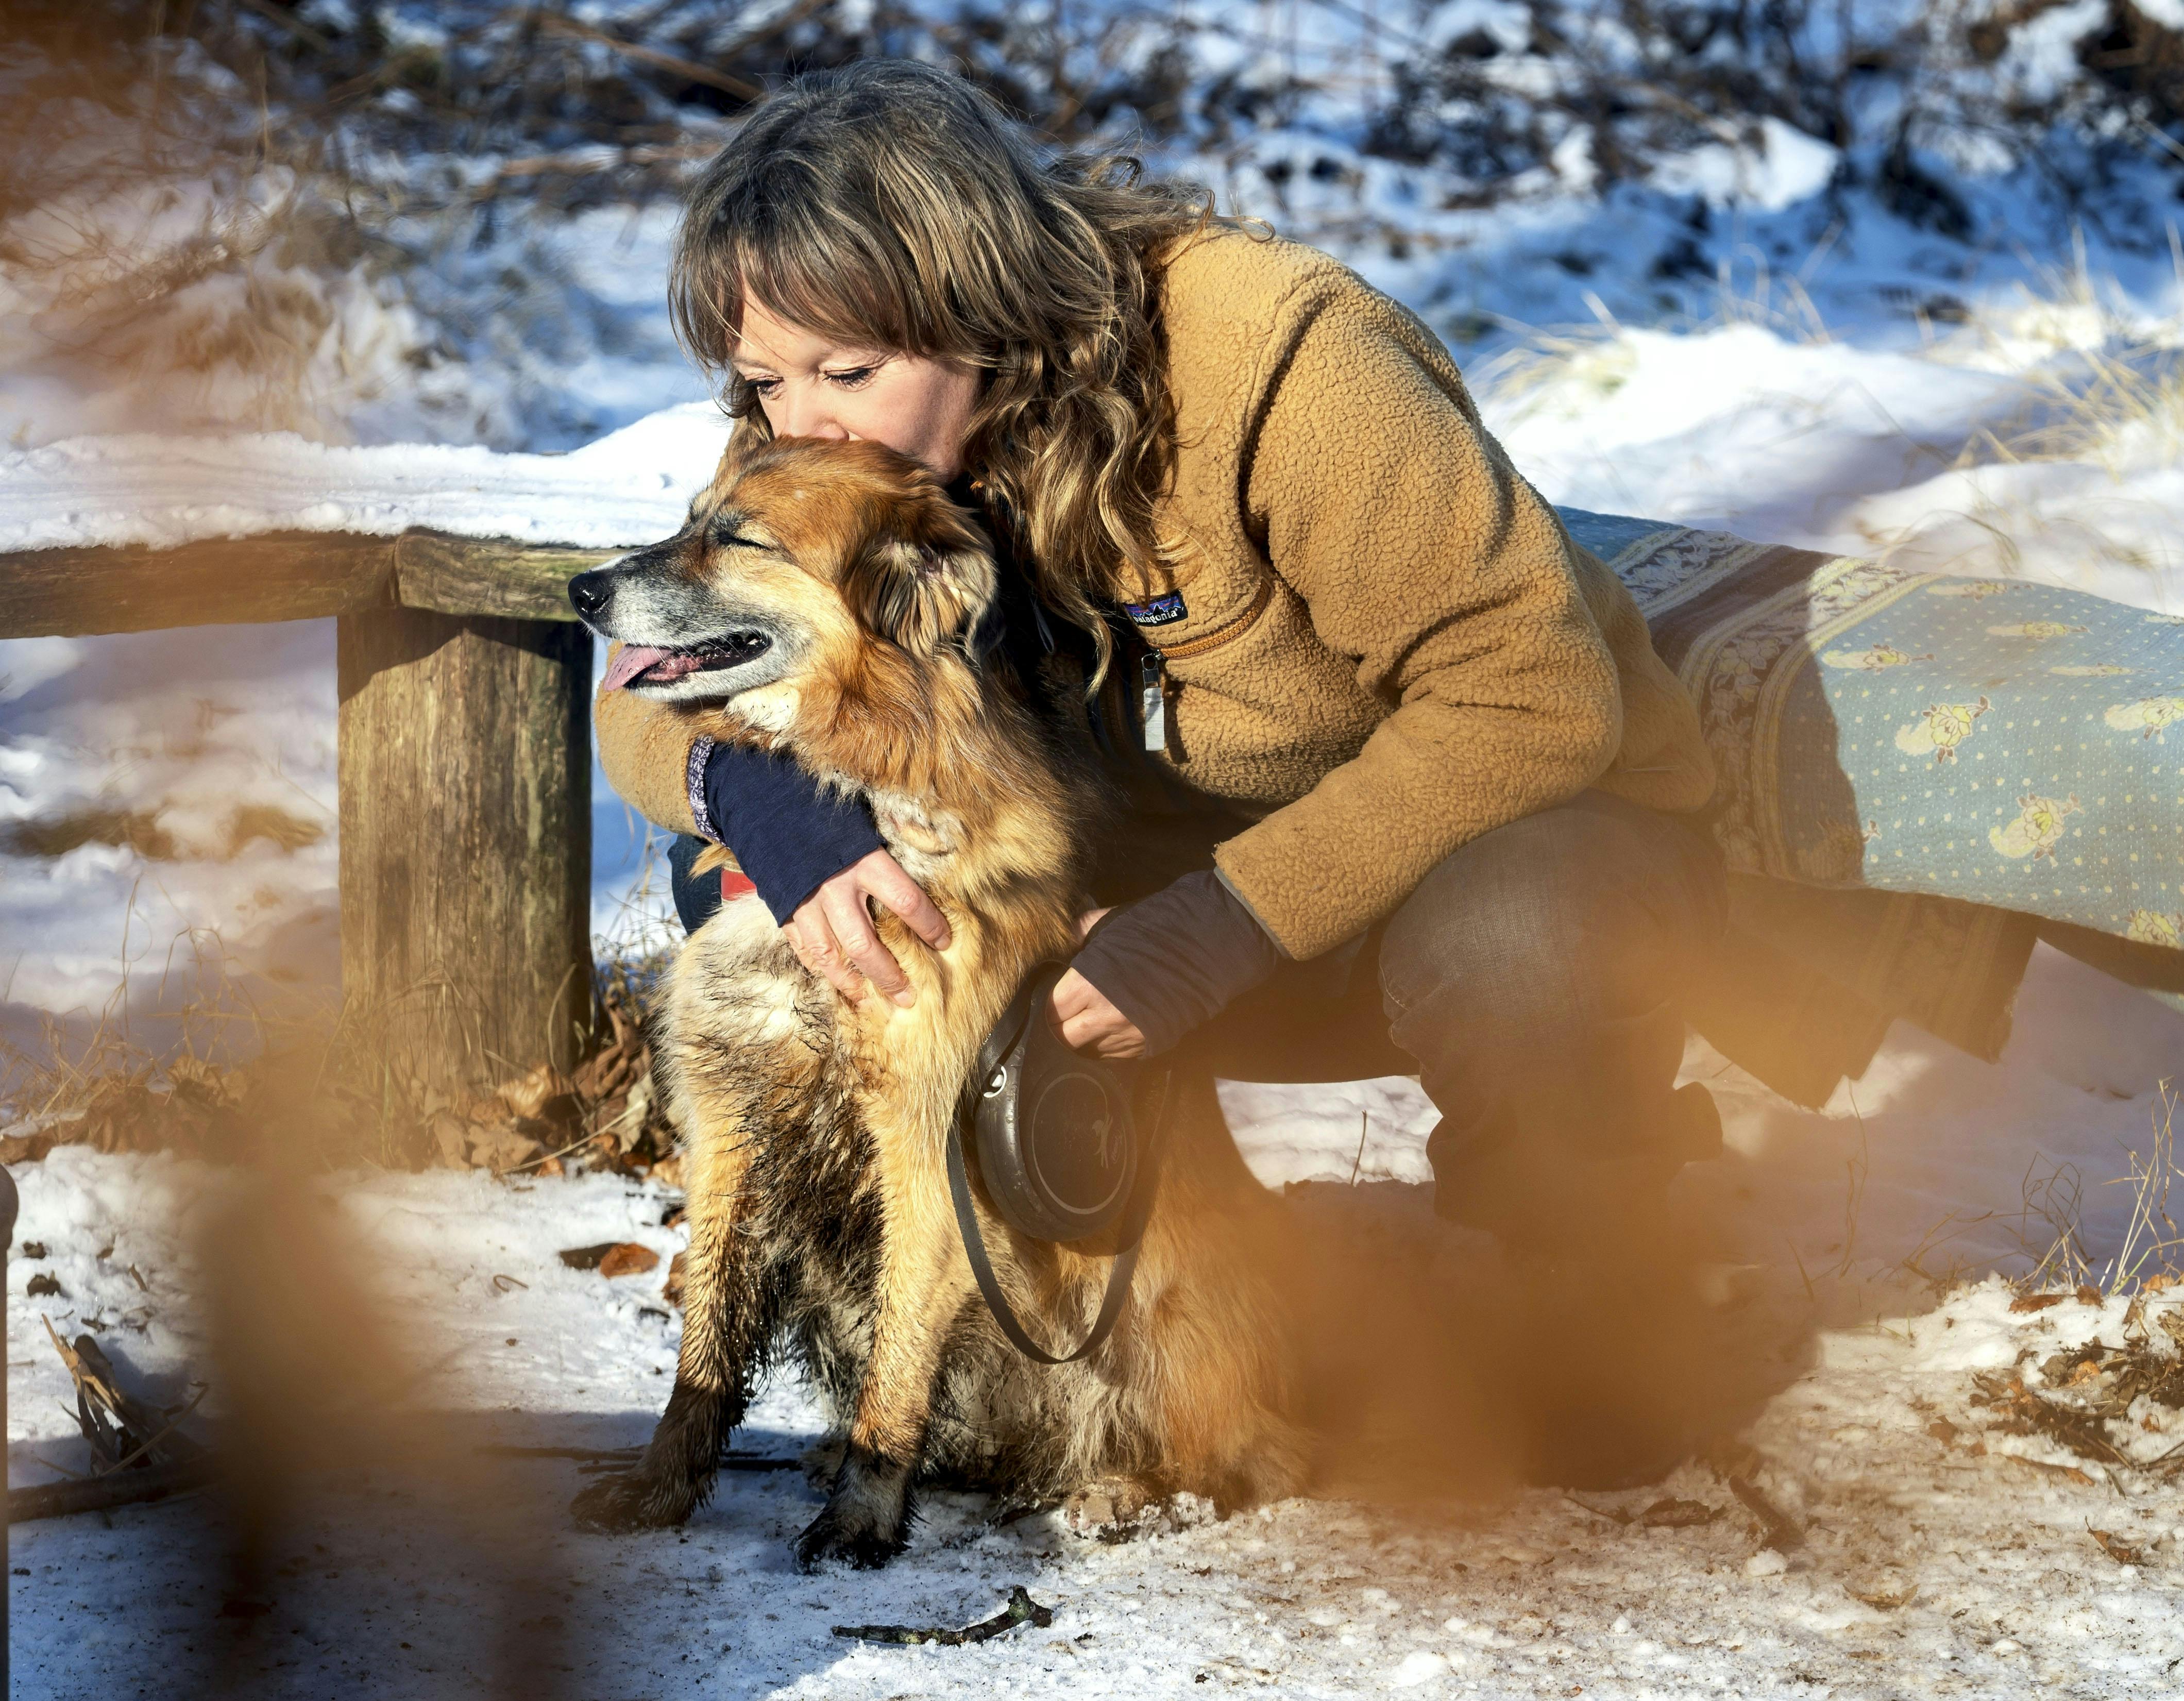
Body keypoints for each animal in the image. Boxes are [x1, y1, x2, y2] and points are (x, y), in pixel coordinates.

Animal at [572, 439, 1301, 1572]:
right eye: (691, 519)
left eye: (739, 538)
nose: (582, 589)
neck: (862, 792)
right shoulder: (731, 1125)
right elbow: (709, 1339)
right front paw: (661, 1488)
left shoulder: (926, 1155)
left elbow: (900, 1363)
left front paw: (863, 1519)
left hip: (1147, 1292)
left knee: (1233, 1458)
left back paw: (1121, 1489)